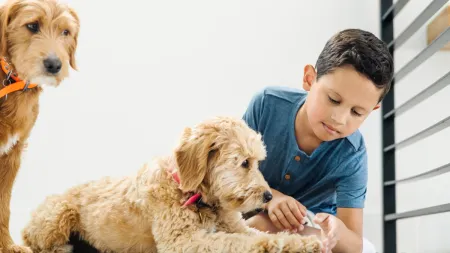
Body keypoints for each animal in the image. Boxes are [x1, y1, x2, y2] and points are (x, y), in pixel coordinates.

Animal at [0, 0, 80, 251]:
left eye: (66, 32)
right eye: (32, 25)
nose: (54, 64)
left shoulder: (12, 154)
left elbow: (3, 206)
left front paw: (7, 245)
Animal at [22, 116, 324, 253]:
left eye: (258, 161)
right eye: (244, 163)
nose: (267, 197)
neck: (196, 195)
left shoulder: (237, 226)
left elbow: (258, 235)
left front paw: (302, 243)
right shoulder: (184, 242)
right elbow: (237, 242)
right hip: (58, 214)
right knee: (35, 242)